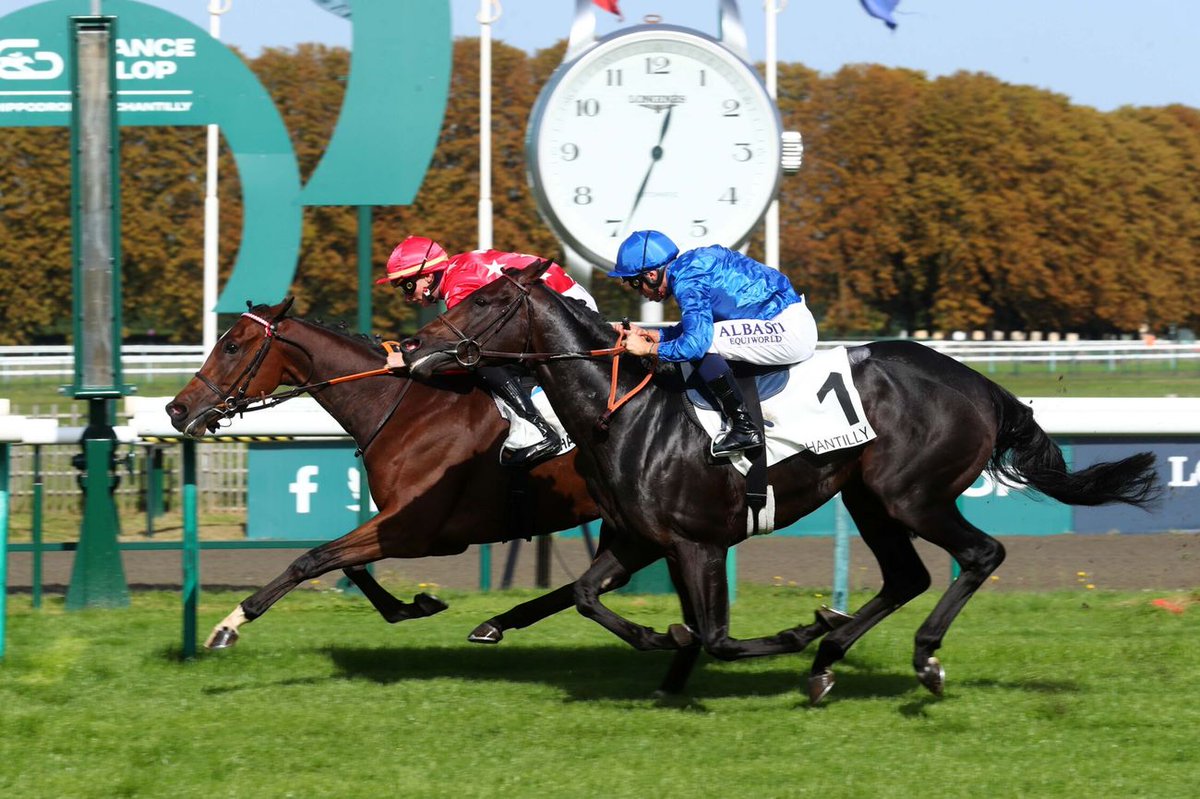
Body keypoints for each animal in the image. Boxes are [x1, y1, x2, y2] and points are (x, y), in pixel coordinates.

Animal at [405, 257, 1161, 700]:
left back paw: (918, 658)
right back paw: (828, 660)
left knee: (979, 554)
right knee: (906, 576)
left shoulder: (698, 541)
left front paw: (786, 633)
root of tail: (981, 384)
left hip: (910, 494)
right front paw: (665, 655)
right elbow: (592, 596)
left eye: (483, 302)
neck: (625, 410)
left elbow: (714, 633)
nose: (414, 346)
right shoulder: (640, 539)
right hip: (868, 496)